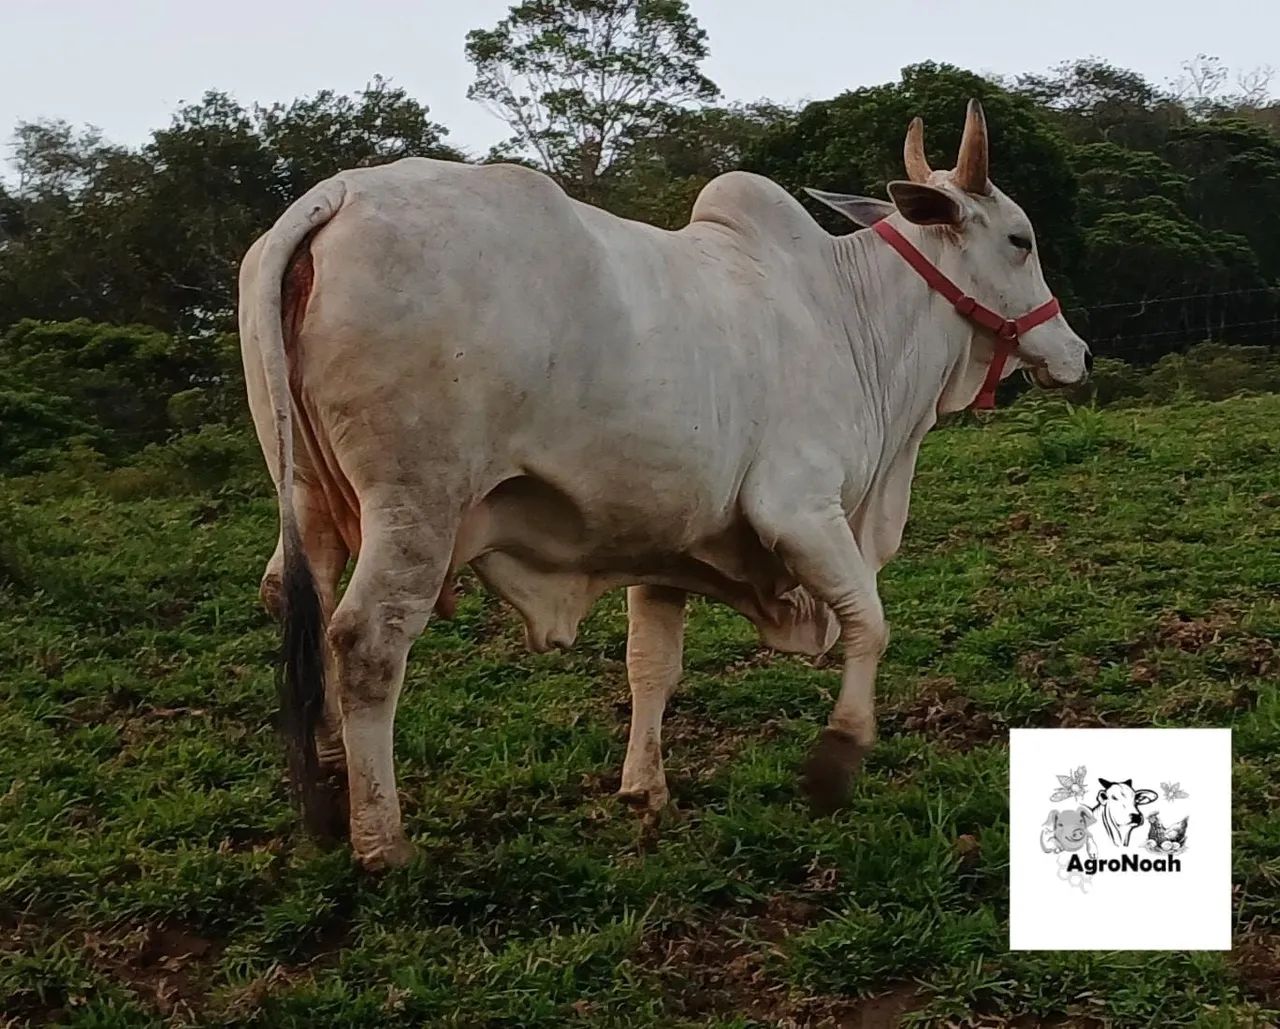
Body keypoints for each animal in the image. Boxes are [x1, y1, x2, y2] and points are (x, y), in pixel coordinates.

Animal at [238, 100, 1091, 870]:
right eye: (1020, 240)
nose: (1075, 352)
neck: (854, 318)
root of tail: (337, 195)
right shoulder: (800, 510)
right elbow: (871, 622)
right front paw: (837, 758)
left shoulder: (666, 546)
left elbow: (652, 664)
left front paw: (644, 789)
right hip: (417, 504)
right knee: (366, 639)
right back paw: (382, 840)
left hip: (305, 490)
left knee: (296, 598)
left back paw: (325, 789)